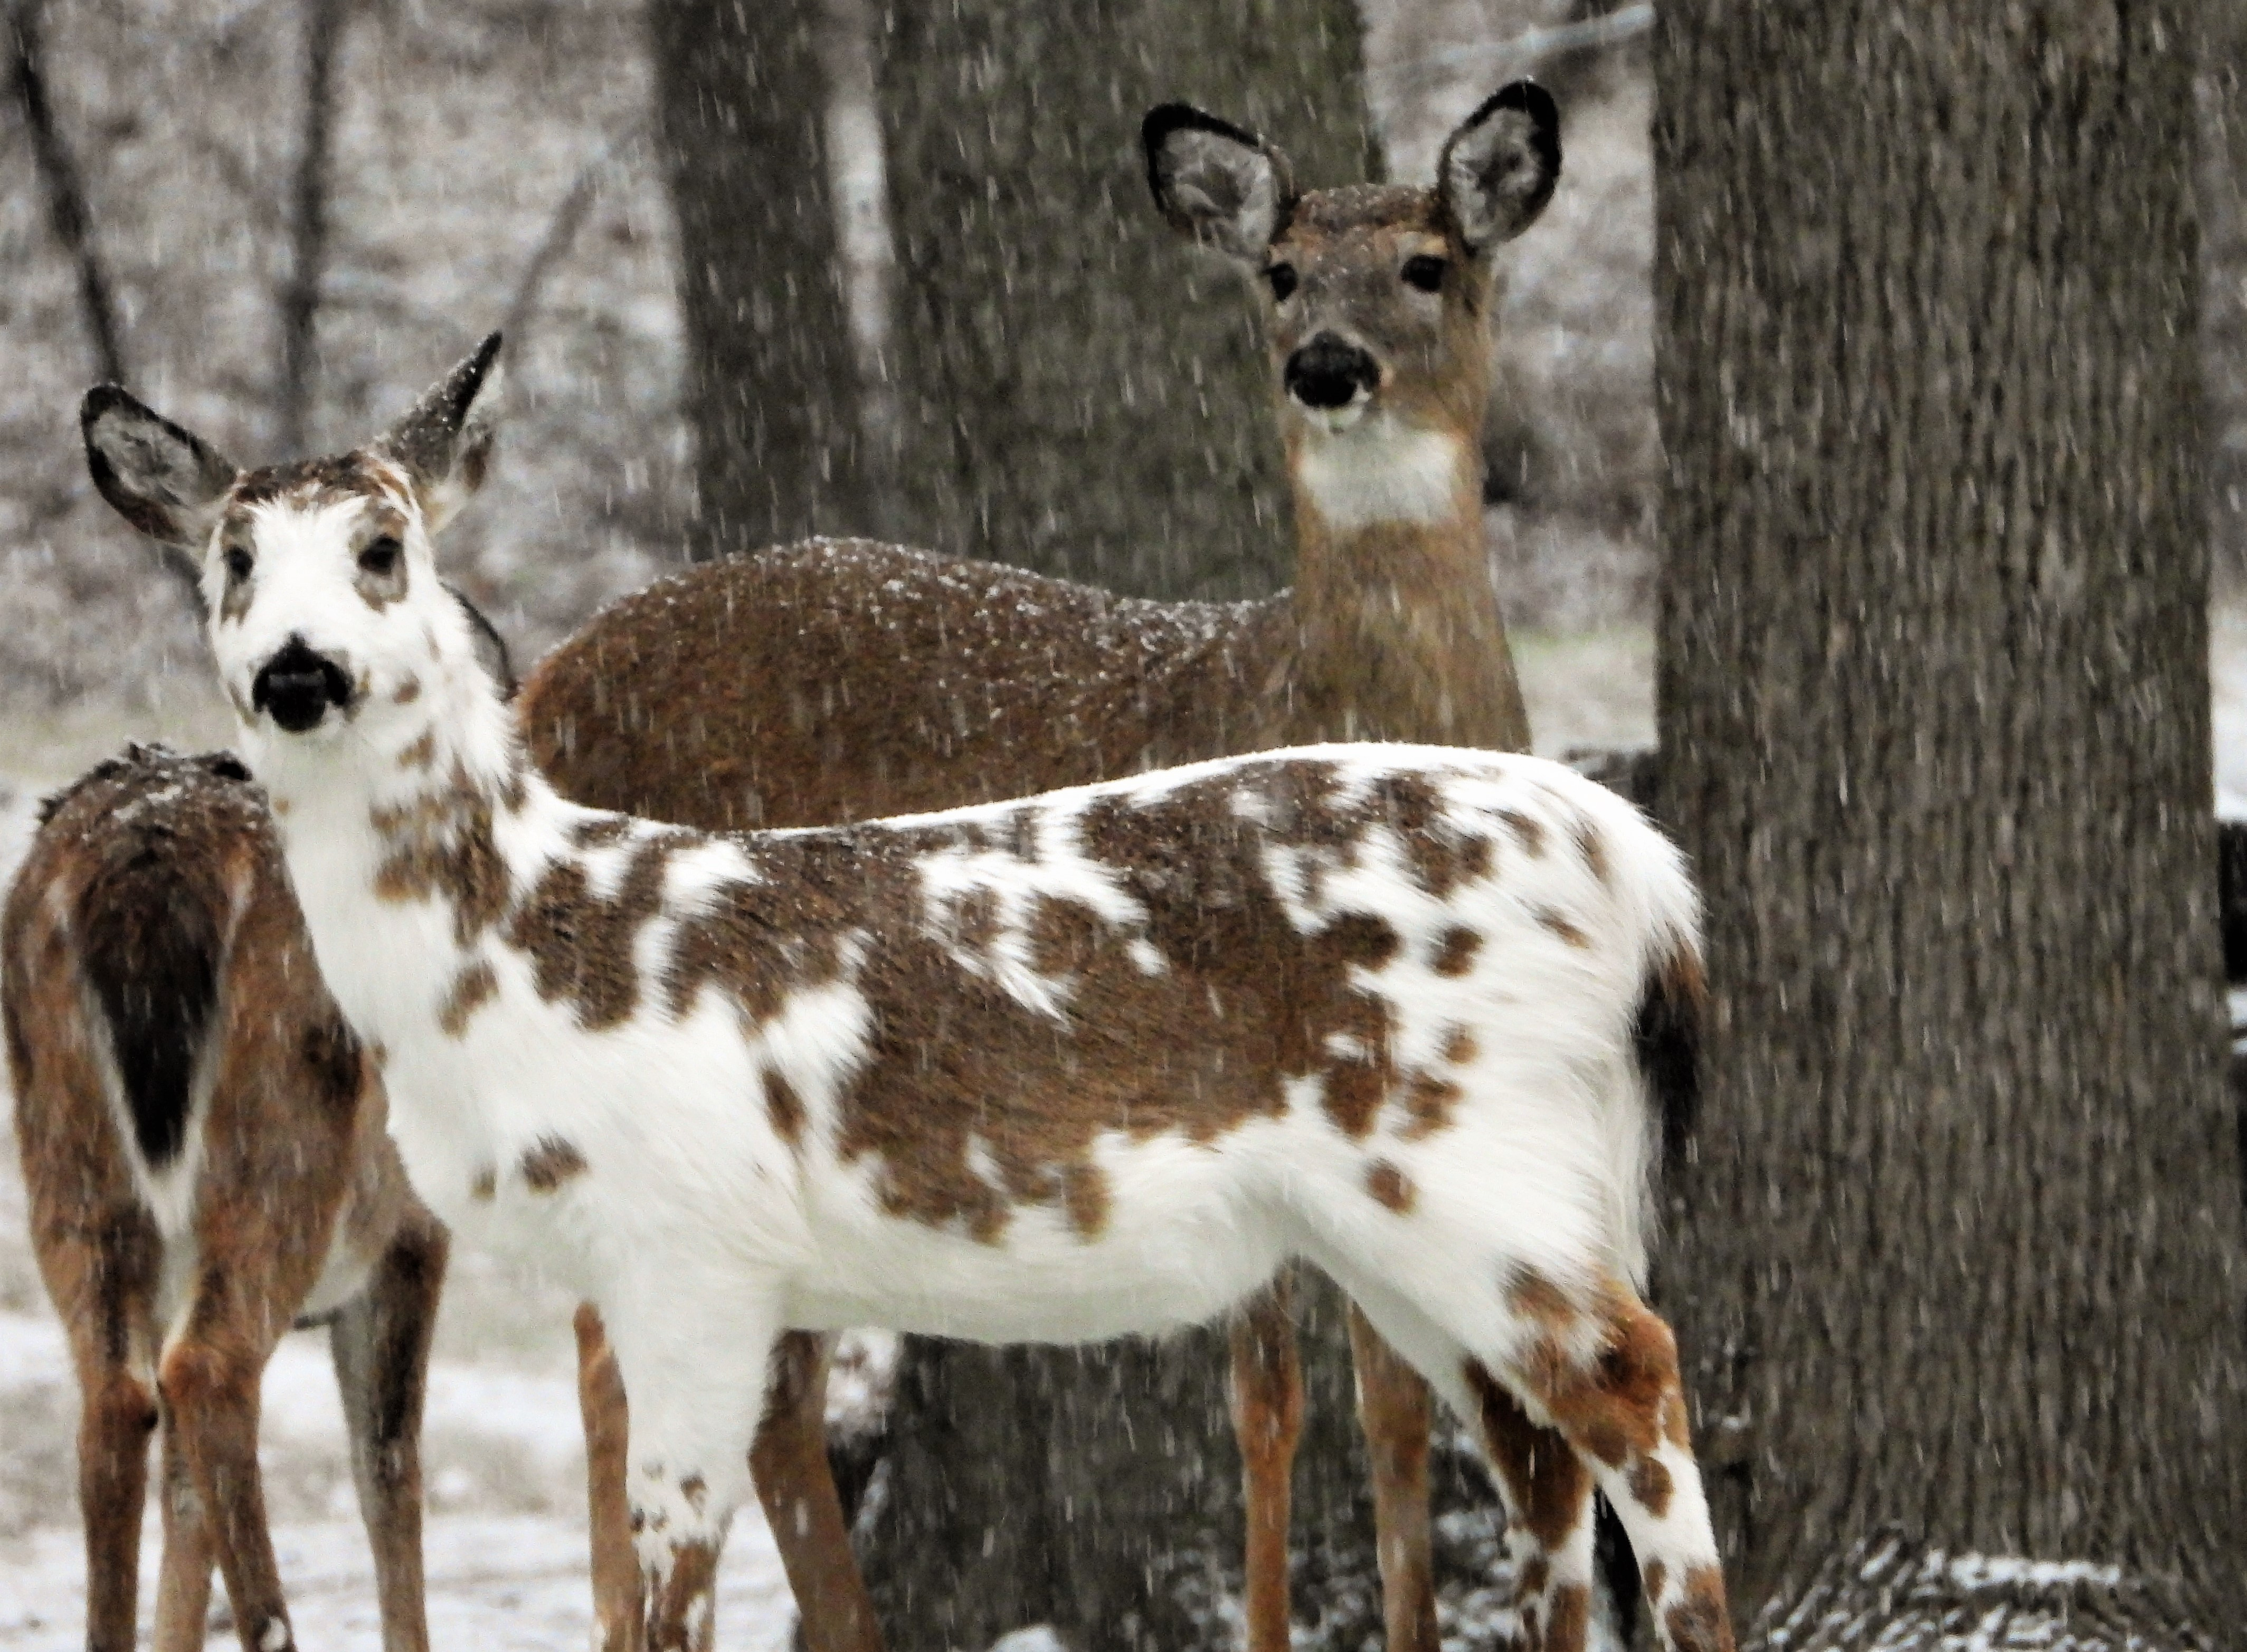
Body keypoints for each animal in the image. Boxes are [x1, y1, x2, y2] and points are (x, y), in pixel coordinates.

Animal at [77, 329, 1740, 1652]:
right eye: (232, 559)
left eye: (385, 546)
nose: (299, 671)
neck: (530, 948)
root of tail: (1641, 869)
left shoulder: (691, 1249)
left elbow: (674, 1592)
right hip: (1420, 1214)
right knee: (1541, 1454)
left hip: (1463, 1159)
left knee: (1638, 1383)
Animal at [519, 81, 1592, 1652]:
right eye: (1280, 274)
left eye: (1427, 263)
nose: (1327, 368)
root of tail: (543, 685)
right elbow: (1267, 1401)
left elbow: (1394, 1402)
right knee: (627, 1348)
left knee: (751, 1383)